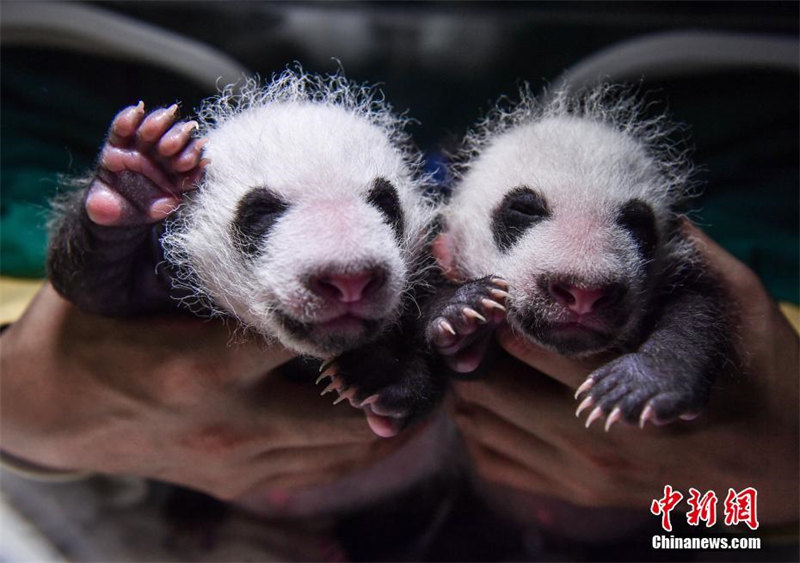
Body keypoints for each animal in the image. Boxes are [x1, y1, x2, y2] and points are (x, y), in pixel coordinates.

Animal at [435, 84, 735, 431]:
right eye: (524, 209)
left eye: (636, 222)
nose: (584, 293)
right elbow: (468, 365)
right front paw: (464, 314)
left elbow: (698, 306)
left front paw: (641, 384)